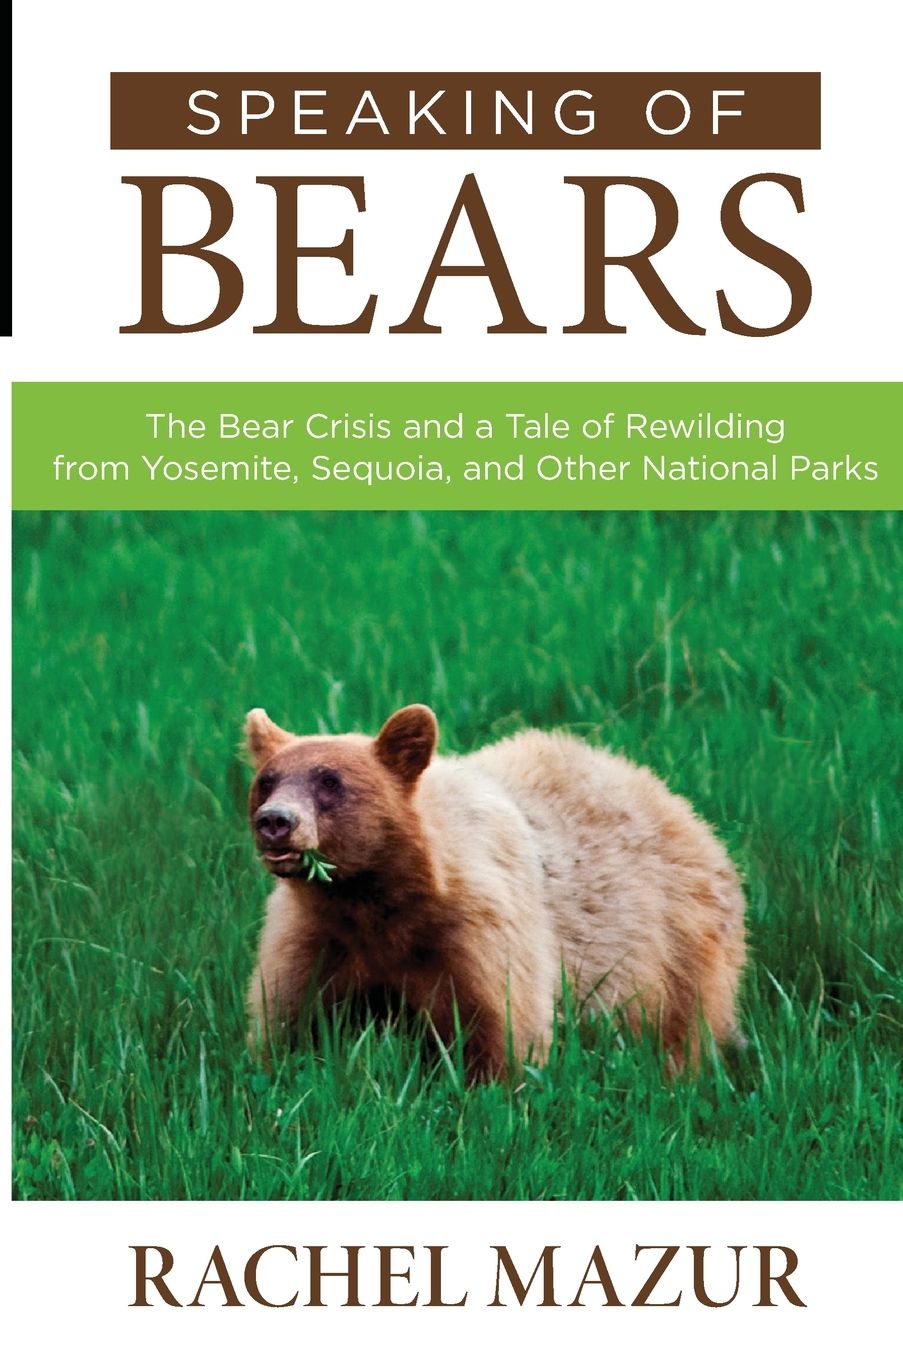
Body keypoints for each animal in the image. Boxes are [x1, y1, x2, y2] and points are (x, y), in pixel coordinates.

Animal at [245, 703, 746, 1077]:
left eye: (330, 781)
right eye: (266, 780)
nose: (276, 821)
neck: (376, 901)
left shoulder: (477, 934)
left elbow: (501, 1028)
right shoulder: (313, 937)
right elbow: (288, 1021)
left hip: (679, 951)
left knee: (681, 1032)